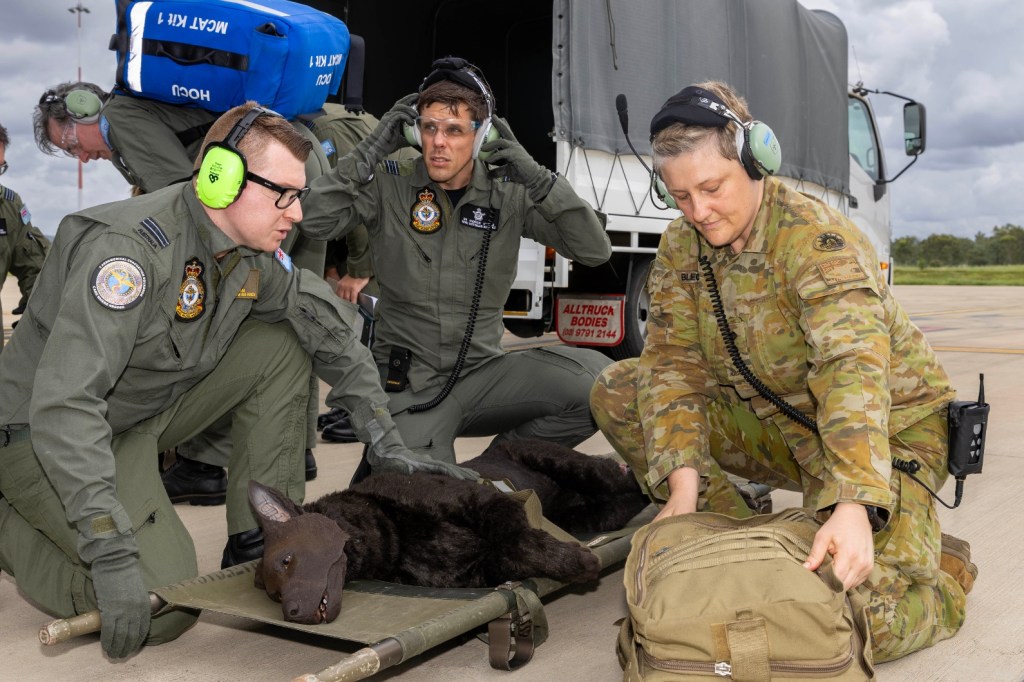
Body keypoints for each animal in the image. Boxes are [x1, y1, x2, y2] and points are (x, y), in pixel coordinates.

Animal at [248, 438, 647, 622]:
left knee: (633, 481)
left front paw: (577, 561)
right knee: (624, 501)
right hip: (590, 516)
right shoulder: (480, 570)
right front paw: (572, 560)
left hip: (583, 470)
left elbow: (520, 539)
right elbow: (515, 550)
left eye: (286, 560)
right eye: (274, 596)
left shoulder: (489, 503)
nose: (291, 613)